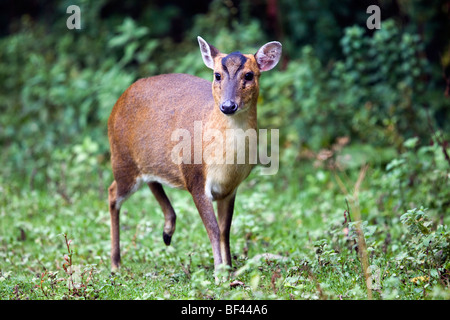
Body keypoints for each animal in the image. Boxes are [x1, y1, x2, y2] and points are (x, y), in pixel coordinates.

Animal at [108, 35, 282, 276]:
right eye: (217, 75)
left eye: (249, 75)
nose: (228, 105)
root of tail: (117, 103)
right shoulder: (196, 179)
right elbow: (213, 230)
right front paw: (219, 274)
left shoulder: (230, 189)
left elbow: (225, 231)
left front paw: (228, 269)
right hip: (121, 159)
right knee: (112, 193)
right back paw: (116, 263)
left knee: (152, 180)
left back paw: (167, 233)